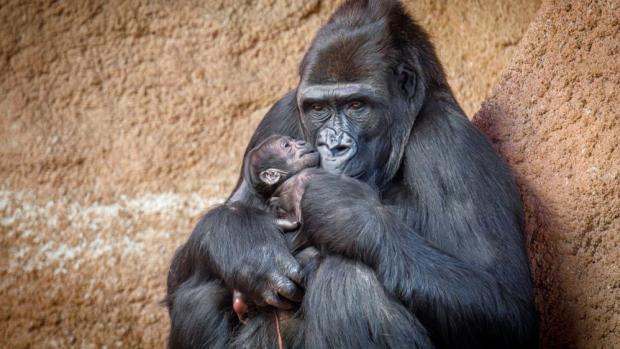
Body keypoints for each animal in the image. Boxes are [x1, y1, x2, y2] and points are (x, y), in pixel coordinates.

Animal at [166, 1, 536, 346]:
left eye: (357, 105)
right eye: (318, 108)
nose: (333, 146)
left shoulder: (451, 142)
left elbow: (505, 302)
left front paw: (344, 211)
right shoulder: (279, 114)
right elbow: (184, 269)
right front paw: (245, 242)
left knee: (350, 281)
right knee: (199, 288)